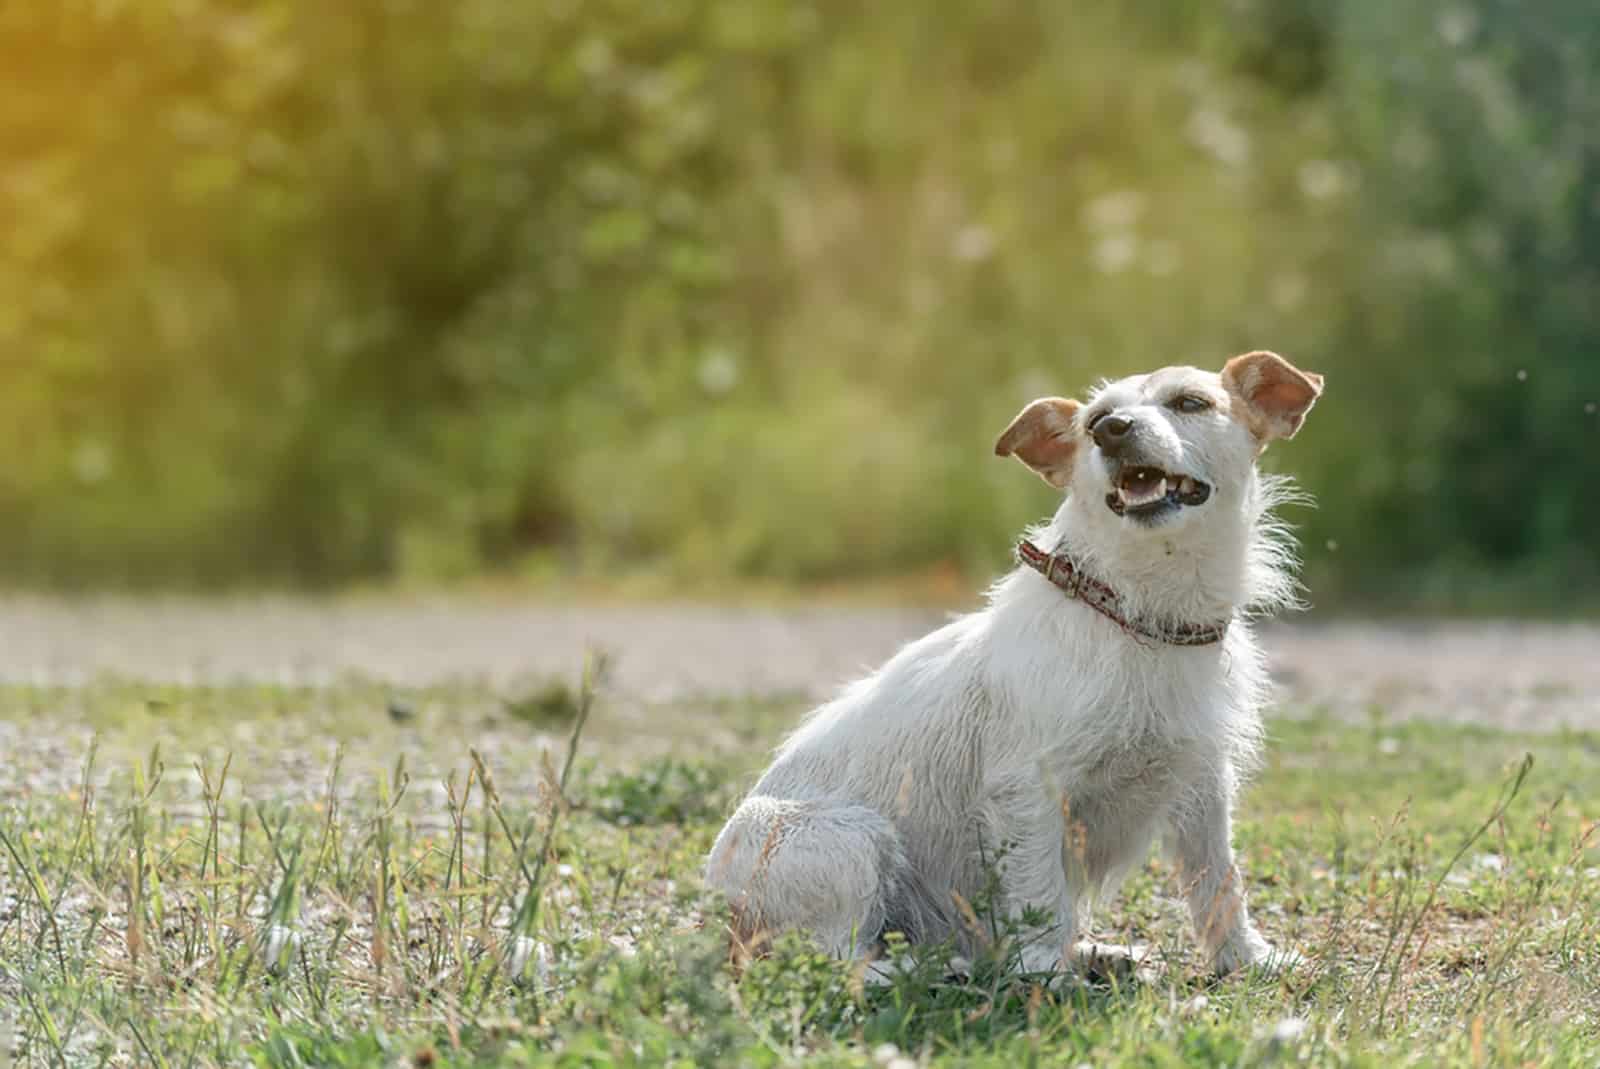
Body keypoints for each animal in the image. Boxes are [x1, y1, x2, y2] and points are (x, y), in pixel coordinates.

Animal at [707, 352, 1318, 985]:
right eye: (1094, 420)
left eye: (1190, 403)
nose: (1111, 430)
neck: (1139, 612)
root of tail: (727, 924)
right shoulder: (1029, 789)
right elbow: (1039, 888)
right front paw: (1046, 971)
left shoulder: (1204, 787)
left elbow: (1219, 881)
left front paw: (1249, 958)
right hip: (849, 840)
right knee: (829, 959)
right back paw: (928, 968)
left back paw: (1091, 953)